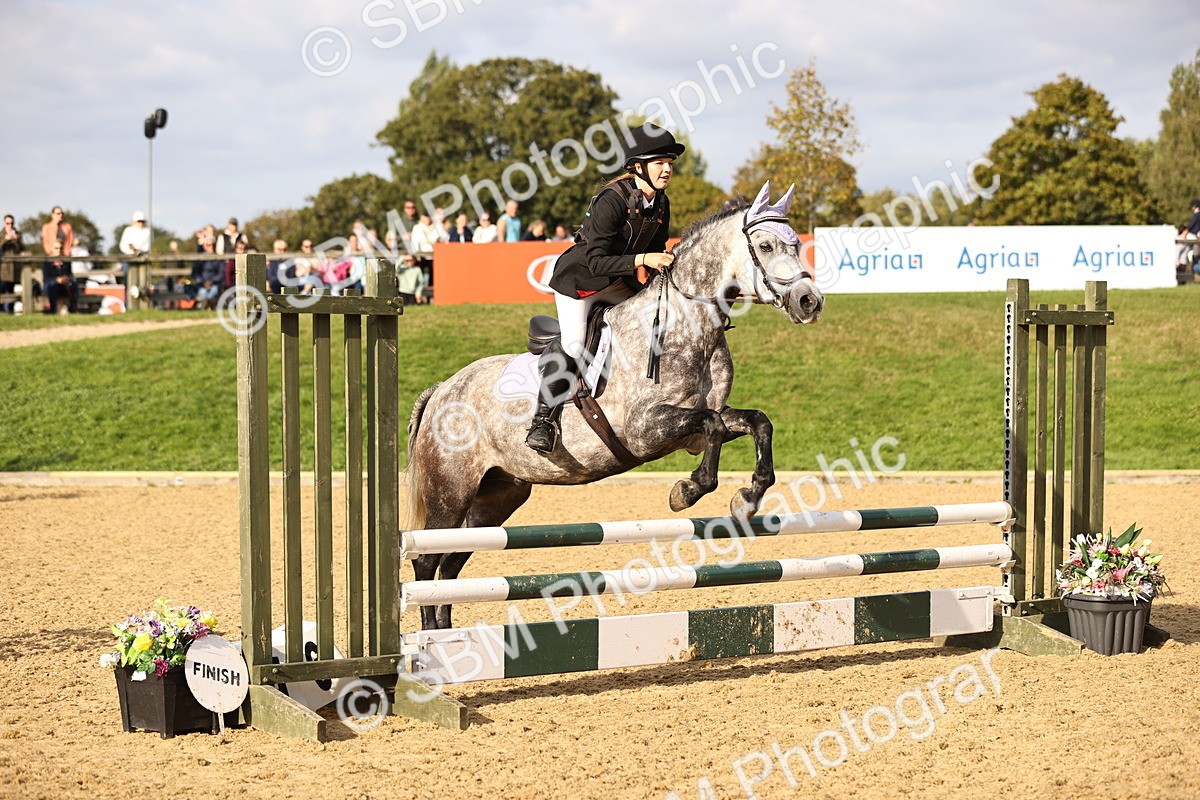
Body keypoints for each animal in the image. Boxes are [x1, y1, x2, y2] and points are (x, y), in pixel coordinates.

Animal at [403, 180, 824, 629]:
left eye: (797, 245)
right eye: (764, 246)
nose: (810, 302)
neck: (686, 323)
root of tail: (443, 389)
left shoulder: (698, 425)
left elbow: (757, 422)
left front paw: (748, 497)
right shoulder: (644, 430)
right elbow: (710, 426)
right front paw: (687, 491)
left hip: (496, 497)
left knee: (451, 563)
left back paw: (447, 635)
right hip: (450, 492)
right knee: (427, 562)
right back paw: (430, 639)